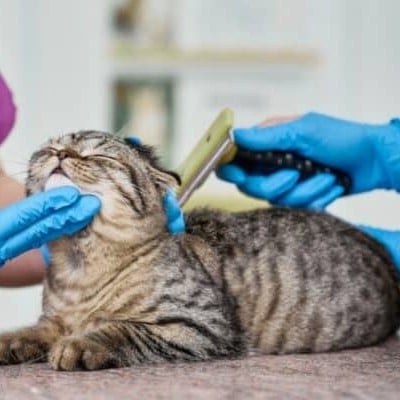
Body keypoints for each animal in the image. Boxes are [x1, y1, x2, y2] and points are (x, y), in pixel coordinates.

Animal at [0, 132, 400, 372]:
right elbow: (35, 331)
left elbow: (122, 329)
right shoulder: (54, 319)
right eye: (48, 148)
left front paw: (83, 343)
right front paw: (12, 340)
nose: (61, 153)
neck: (79, 266)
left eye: (99, 155)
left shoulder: (200, 324)